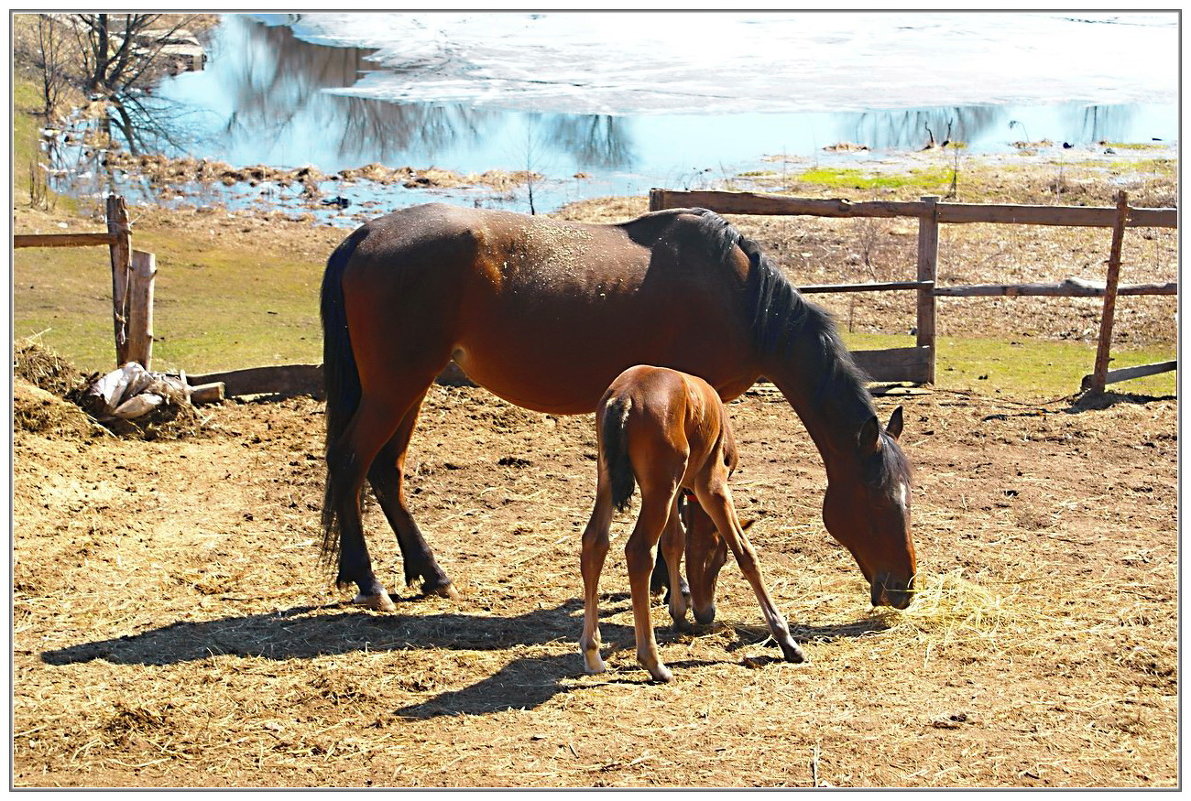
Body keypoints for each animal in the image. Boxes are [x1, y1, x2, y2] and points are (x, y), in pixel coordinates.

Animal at [578, 364, 805, 680]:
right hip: (661, 486)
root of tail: (623, 398)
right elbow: (745, 552)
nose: (706, 613)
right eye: (720, 559)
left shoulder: (678, 491)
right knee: (639, 550)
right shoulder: (711, 486)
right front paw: (786, 640)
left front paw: (678, 612)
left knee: (594, 542)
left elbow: (675, 540)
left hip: (613, 479)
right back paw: (653, 662)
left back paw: (593, 654)